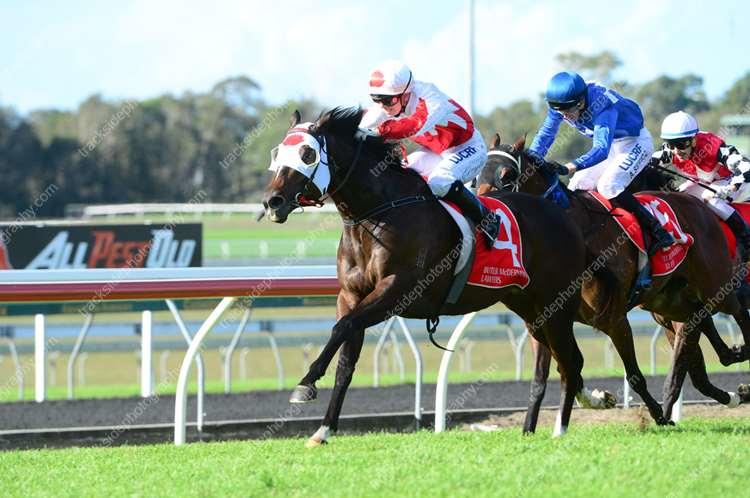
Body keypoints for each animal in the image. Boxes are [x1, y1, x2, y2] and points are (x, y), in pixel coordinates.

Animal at [263, 107, 597, 445]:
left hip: (556, 304)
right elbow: (345, 357)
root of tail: (563, 216)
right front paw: (323, 429)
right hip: (529, 307)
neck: (379, 213)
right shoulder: (350, 295)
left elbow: (342, 327)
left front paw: (305, 383)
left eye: (306, 154)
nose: (273, 201)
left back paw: (561, 428)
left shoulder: (396, 289)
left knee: (570, 361)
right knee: (563, 359)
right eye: (277, 153)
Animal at [477, 133, 750, 425]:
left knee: (737, 310)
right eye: (477, 174)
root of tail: (700, 207)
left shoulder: (614, 318)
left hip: (714, 286)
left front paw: (659, 416)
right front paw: (602, 399)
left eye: (507, 176)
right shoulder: (552, 317)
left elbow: (635, 375)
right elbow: (570, 369)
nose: (486, 216)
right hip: (671, 305)